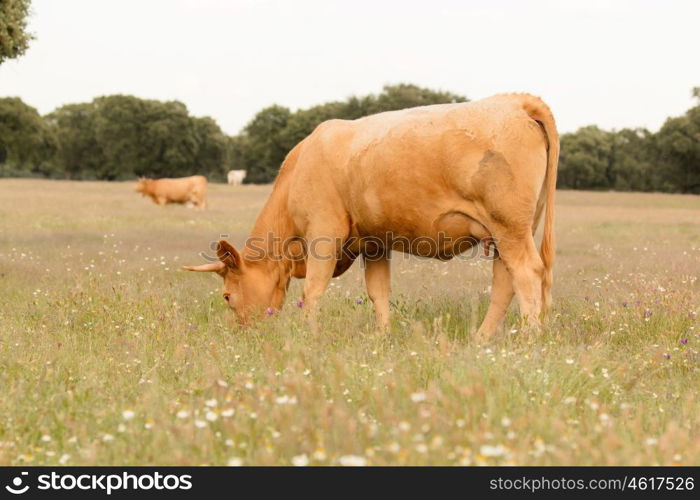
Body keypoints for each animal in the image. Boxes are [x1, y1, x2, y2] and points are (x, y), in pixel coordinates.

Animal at [183, 94, 560, 340]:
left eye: (227, 296)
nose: (246, 334)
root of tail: (516, 101)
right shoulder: (375, 242)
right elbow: (378, 292)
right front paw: (382, 337)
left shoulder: (324, 231)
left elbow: (314, 290)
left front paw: (309, 336)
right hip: (507, 231)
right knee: (505, 283)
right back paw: (482, 340)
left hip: (509, 227)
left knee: (527, 274)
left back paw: (528, 339)